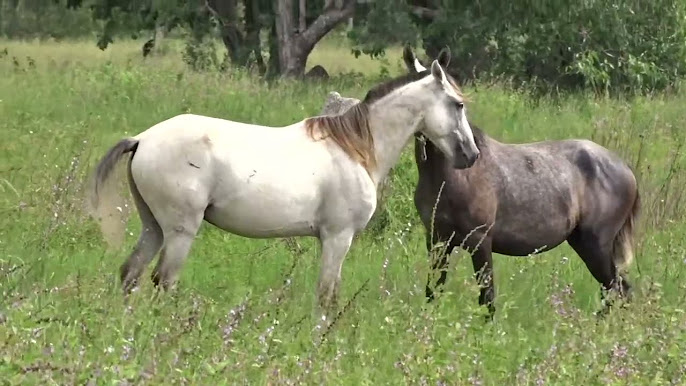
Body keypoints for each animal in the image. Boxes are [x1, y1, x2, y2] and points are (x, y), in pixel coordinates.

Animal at [90, 56, 478, 316]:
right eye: (458, 104)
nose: (471, 155)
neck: (354, 148)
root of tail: (142, 139)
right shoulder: (337, 238)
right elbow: (327, 296)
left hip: (153, 227)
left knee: (131, 274)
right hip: (179, 231)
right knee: (163, 281)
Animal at [406, 46, 644, 316]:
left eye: (457, 102)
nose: (468, 154)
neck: (451, 177)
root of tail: (627, 170)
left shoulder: (480, 241)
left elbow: (487, 298)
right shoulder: (437, 240)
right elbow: (433, 292)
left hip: (595, 245)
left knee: (618, 289)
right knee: (616, 290)